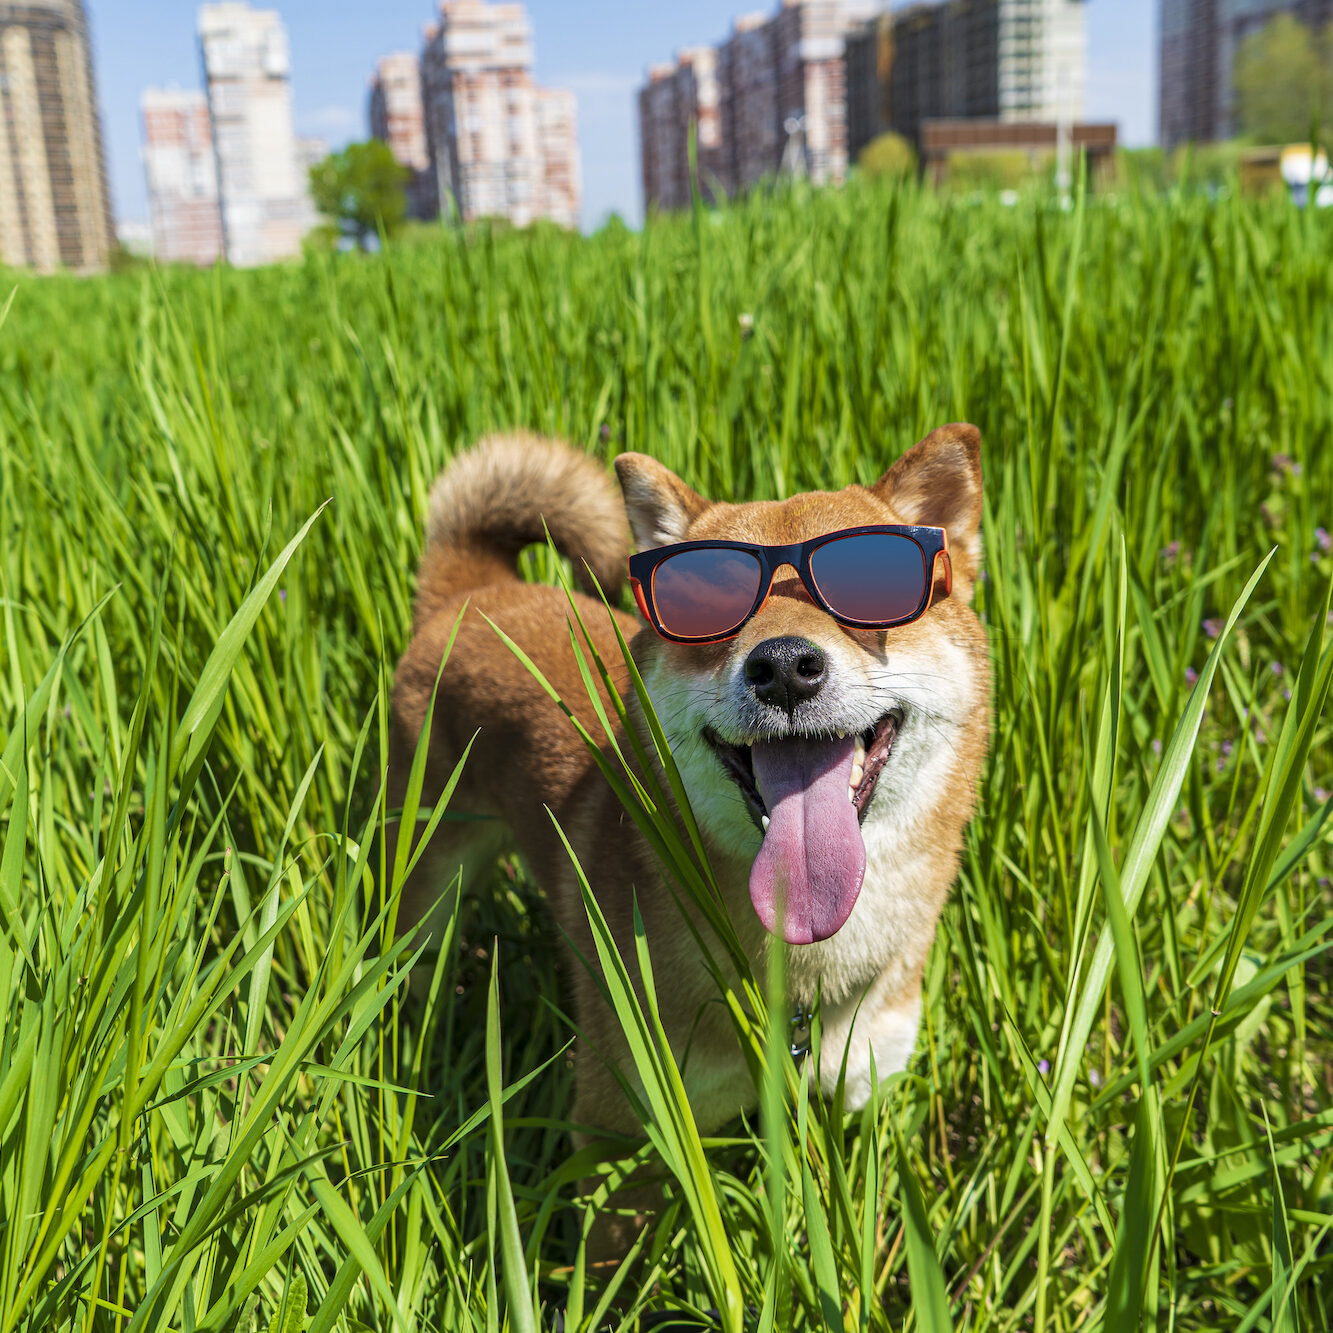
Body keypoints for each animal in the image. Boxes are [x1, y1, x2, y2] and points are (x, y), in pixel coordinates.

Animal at [386, 426, 991, 1146]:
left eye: (869, 587)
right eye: (706, 604)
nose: (783, 666)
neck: (799, 983)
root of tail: (471, 596)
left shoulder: (865, 1089)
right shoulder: (623, 1129)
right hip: (425, 889)